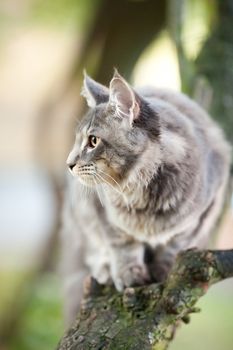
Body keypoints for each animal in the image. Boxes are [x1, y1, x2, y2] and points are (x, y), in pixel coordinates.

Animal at [60, 69, 231, 324]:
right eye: (77, 140)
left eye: (93, 141)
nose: (69, 164)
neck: (140, 191)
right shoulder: (101, 210)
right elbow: (121, 244)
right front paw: (128, 272)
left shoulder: (203, 211)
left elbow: (174, 244)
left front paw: (163, 270)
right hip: (79, 214)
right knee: (91, 249)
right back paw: (104, 269)